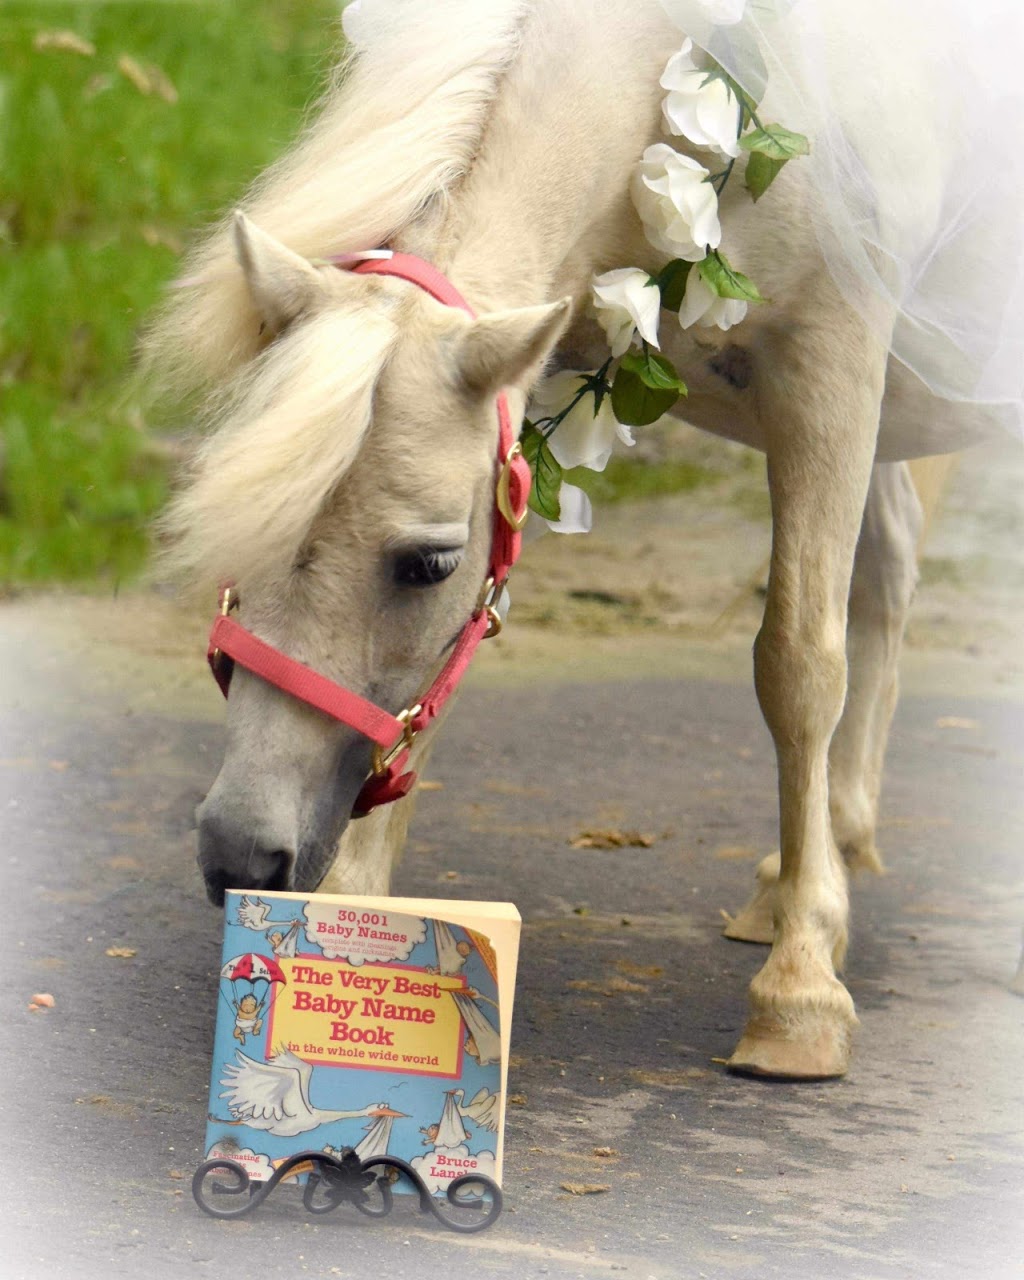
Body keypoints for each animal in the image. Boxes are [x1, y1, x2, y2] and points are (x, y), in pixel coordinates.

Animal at [154, 0, 1008, 1080]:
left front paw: (800, 992)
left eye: (426, 561)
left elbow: (800, 666)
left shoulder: (832, 368)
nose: (240, 855)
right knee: (890, 569)